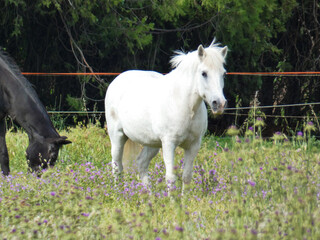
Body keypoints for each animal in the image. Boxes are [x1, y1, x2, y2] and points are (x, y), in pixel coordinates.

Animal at [105, 39, 228, 189]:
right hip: (117, 136)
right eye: (204, 73)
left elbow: (187, 177)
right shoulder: (169, 144)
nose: (219, 103)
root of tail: (117, 80)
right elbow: (170, 178)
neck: (185, 106)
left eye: (224, 74)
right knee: (117, 168)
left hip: (152, 144)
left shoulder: (193, 145)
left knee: (141, 164)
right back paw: (118, 192)